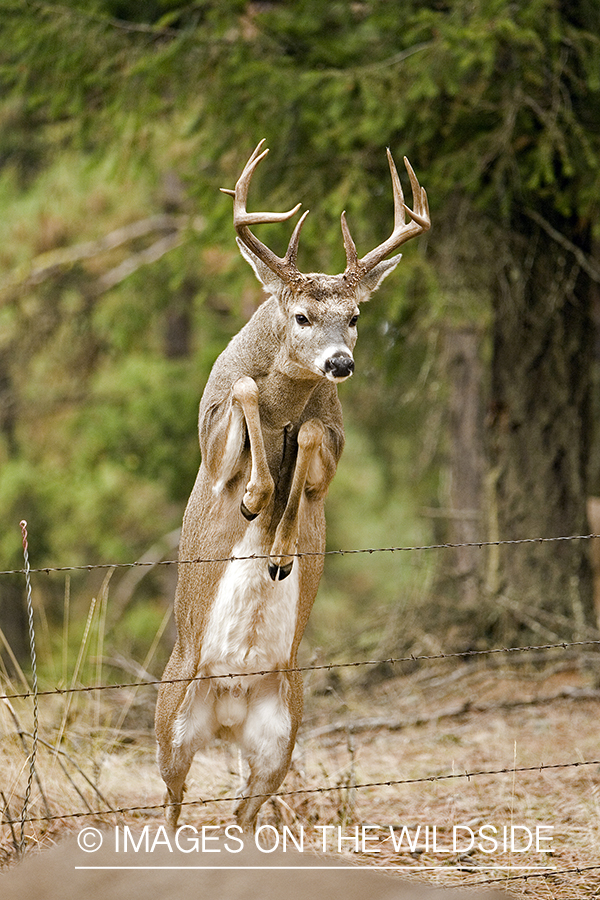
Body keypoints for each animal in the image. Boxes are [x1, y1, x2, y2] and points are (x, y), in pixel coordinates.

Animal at [152, 142, 428, 836]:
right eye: (300, 315)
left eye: (355, 316)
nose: (341, 362)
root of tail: (227, 709)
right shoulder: (211, 444)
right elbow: (246, 392)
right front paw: (254, 497)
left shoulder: (333, 445)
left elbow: (306, 443)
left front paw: (280, 547)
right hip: (169, 714)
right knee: (171, 803)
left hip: (283, 731)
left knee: (242, 813)